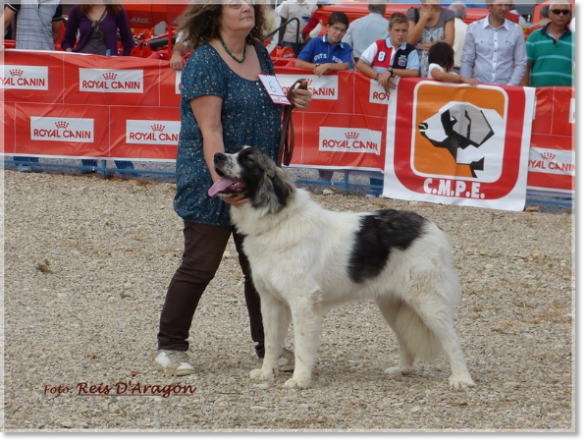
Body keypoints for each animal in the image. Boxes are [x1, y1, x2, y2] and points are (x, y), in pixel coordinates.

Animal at [210, 147, 474, 390]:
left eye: (247, 159)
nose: (217, 156)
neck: (277, 220)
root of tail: (432, 227)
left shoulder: (303, 302)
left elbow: (302, 345)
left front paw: (300, 380)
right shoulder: (270, 301)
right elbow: (271, 341)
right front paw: (266, 374)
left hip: (428, 303)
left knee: (452, 340)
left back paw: (462, 378)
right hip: (393, 306)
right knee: (405, 339)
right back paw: (402, 369)